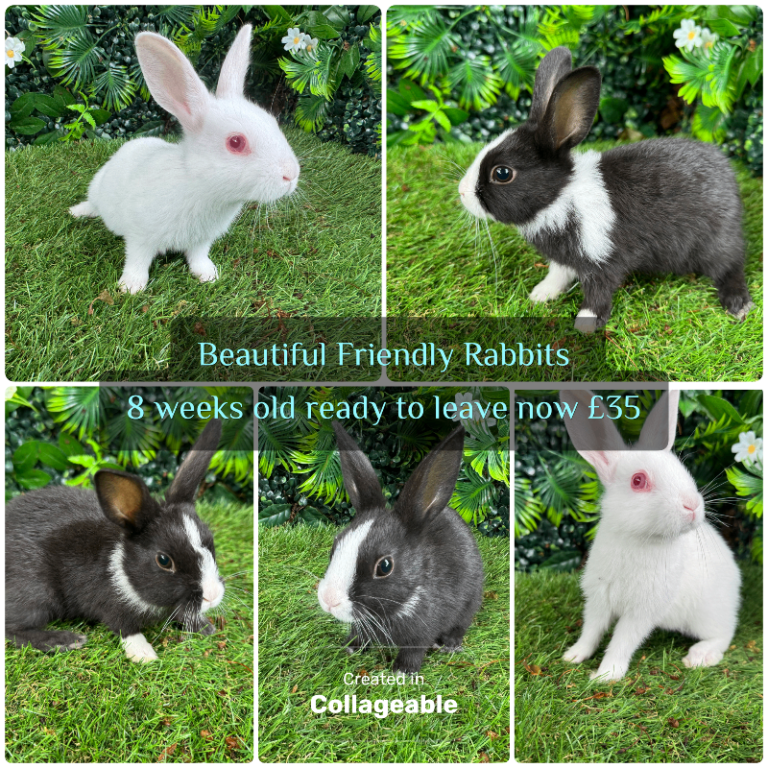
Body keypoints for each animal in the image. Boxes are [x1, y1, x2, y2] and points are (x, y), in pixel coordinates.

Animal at [5, 419, 226, 663]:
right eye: (164, 560)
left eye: (210, 540)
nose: (212, 596)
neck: (122, 565)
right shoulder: (108, 602)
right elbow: (124, 626)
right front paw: (144, 654)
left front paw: (203, 627)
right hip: (37, 593)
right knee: (13, 628)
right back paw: (65, 640)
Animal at [69, 25, 300, 294]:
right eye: (235, 142)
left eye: (272, 122)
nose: (291, 175)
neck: (200, 187)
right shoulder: (140, 237)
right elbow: (137, 260)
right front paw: (131, 287)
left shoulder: (202, 241)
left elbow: (198, 258)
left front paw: (208, 275)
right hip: (97, 190)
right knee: (93, 205)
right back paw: (77, 211)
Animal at [317, 421, 484, 674]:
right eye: (334, 547)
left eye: (384, 566)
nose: (329, 601)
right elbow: (358, 633)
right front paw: (350, 648)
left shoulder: (422, 633)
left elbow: (413, 650)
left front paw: (402, 672)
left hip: (470, 603)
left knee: (460, 626)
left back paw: (449, 645)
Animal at [458, 47, 753, 333]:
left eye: (502, 173)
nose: (462, 192)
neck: (560, 195)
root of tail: (726, 171)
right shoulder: (565, 259)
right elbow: (558, 274)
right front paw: (541, 294)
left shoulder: (602, 258)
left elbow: (598, 292)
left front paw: (585, 323)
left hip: (716, 241)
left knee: (731, 265)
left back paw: (738, 305)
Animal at [559, 389, 741, 681]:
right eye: (638, 481)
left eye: (681, 467)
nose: (692, 505)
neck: (638, 539)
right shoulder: (599, 598)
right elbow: (591, 630)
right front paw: (574, 655)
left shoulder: (642, 610)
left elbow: (622, 641)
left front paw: (605, 675)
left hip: (707, 615)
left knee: (724, 635)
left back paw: (700, 656)